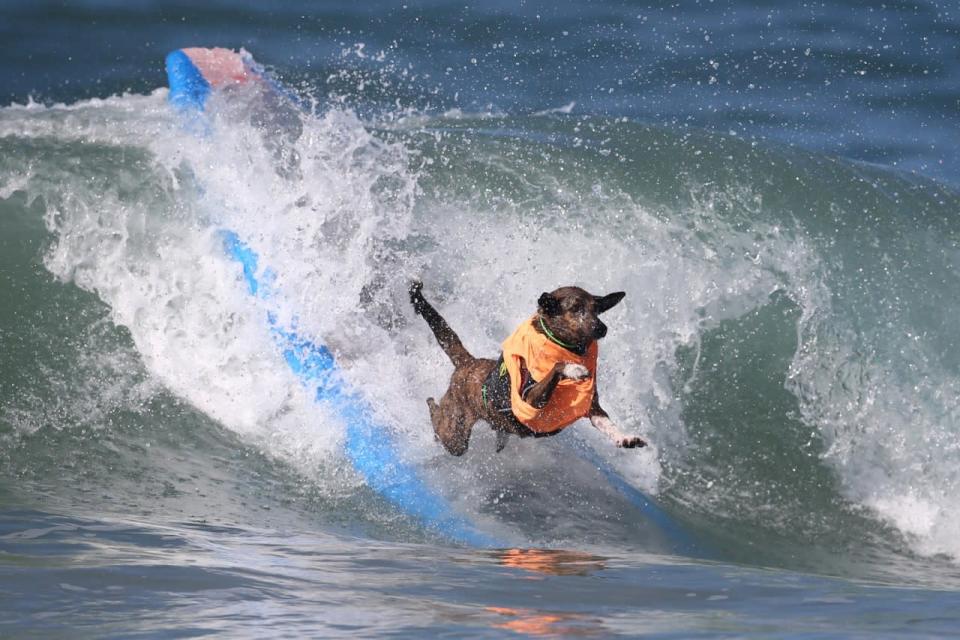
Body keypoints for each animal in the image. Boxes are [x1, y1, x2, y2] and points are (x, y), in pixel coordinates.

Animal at [408, 280, 648, 456]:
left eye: (596, 310)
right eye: (575, 309)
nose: (602, 328)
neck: (566, 347)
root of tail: (469, 363)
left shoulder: (593, 408)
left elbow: (608, 425)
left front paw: (624, 438)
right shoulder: (530, 400)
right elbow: (557, 367)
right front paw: (572, 369)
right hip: (455, 436)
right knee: (438, 418)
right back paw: (431, 406)